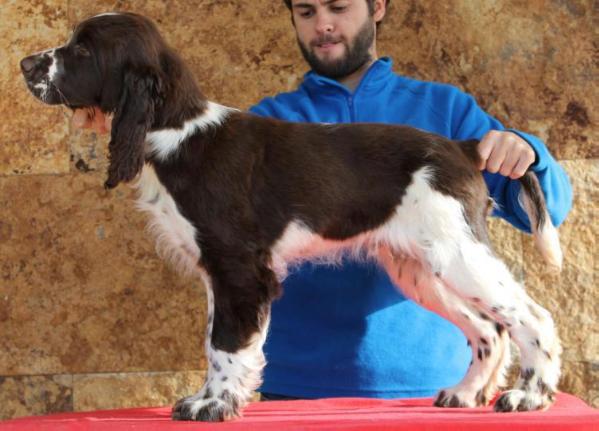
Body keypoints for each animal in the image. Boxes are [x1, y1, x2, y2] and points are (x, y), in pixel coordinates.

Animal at [19, 12, 564, 422]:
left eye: (83, 51)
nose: (24, 63)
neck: (179, 133)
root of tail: (464, 146)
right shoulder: (220, 274)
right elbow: (215, 340)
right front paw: (208, 398)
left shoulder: (240, 268)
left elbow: (226, 343)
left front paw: (215, 405)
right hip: (420, 267)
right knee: (489, 328)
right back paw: (466, 393)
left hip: (456, 253)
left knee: (531, 316)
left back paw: (529, 396)